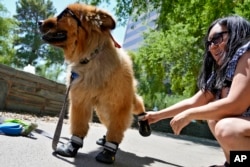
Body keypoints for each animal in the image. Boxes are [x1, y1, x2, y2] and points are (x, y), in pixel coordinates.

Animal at [38, 2, 150, 164]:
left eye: (63, 15)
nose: (39, 22)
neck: (90, 58)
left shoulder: (119, 105)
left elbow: (116, 130)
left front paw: (109, 151)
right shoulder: (80, 101)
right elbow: (79, 125)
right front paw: (71, 146)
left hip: (124, 101)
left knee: (138, 105)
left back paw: (144, 124)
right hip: (103, 111)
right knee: (109, 123)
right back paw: (104, 139)